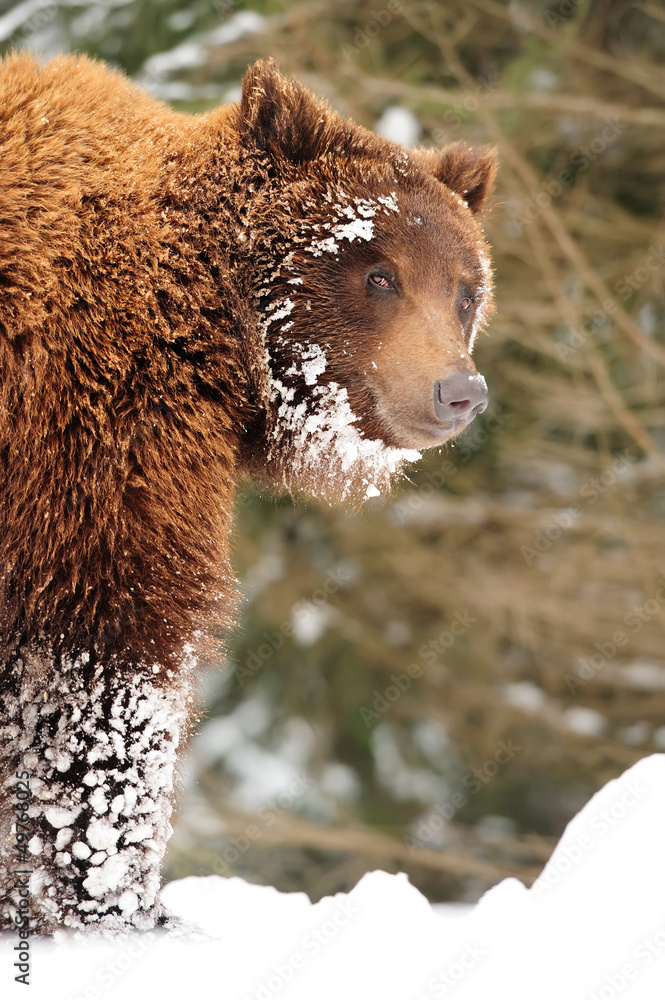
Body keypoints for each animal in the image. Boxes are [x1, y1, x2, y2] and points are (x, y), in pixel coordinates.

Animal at [0, 52, 496, 928]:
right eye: (380, 274)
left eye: (465, 288)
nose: (457, 391)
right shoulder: (90, 433)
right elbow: (109, 659)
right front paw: (110, 898)